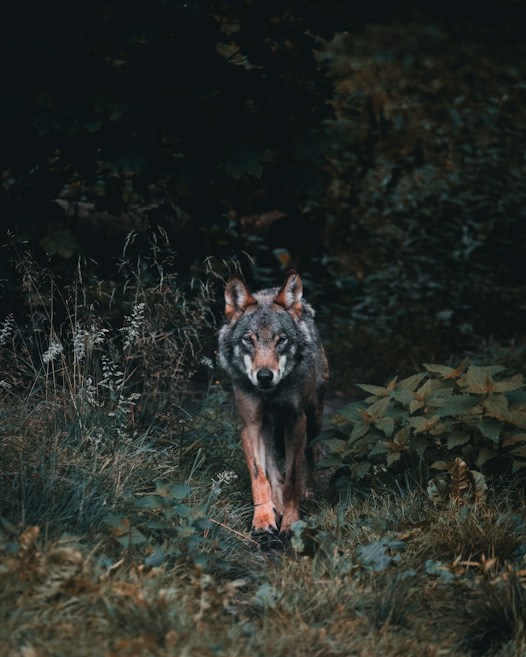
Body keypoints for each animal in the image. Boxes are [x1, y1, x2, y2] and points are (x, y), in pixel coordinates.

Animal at [218, 271, 328, 534]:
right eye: (249, 340)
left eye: (282, 340)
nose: (265, 376)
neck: (271, 394)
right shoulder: (250, 425)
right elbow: (260, 476)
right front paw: (263, 518)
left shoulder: (296, 421)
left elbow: (293, 477)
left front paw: (291, 521)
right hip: (266, 427)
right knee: (272, 469)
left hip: (314, 417)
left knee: (310, 454)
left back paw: (307, 491)